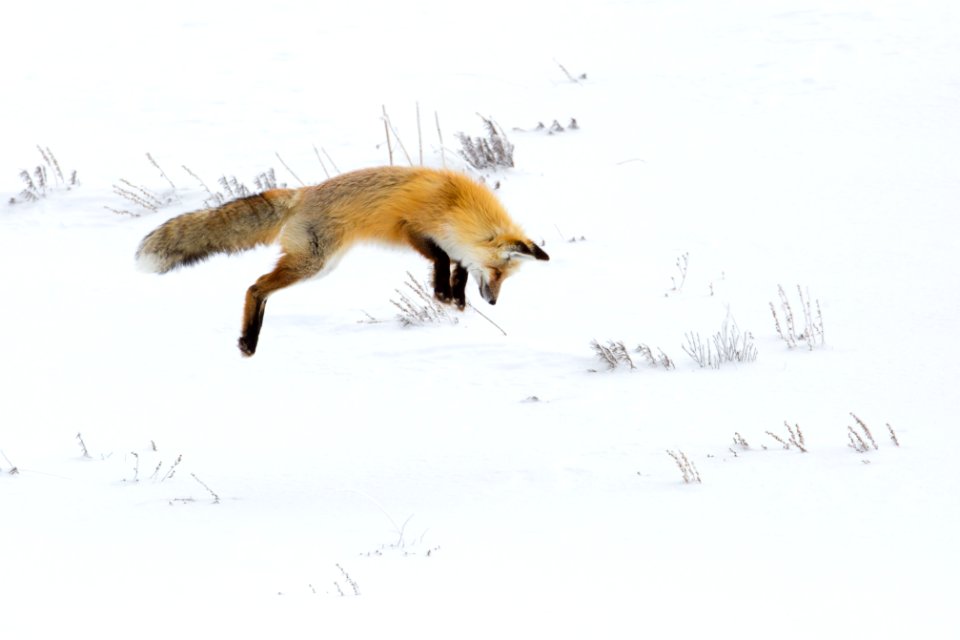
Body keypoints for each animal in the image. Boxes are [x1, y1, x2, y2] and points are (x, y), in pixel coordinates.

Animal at [139, 166, 552, 356]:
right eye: (498, 272)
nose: (493, 302)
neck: (456, 206)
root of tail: (303, 193)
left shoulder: (453, 247)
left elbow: (459, 270)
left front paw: (455, 299)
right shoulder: (411, 228)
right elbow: (439, 259)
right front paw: (443, 295)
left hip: (318, 265)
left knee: (262, 289)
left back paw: (250, 339)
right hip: (314, 263)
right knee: (255, 287)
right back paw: (248, 340)